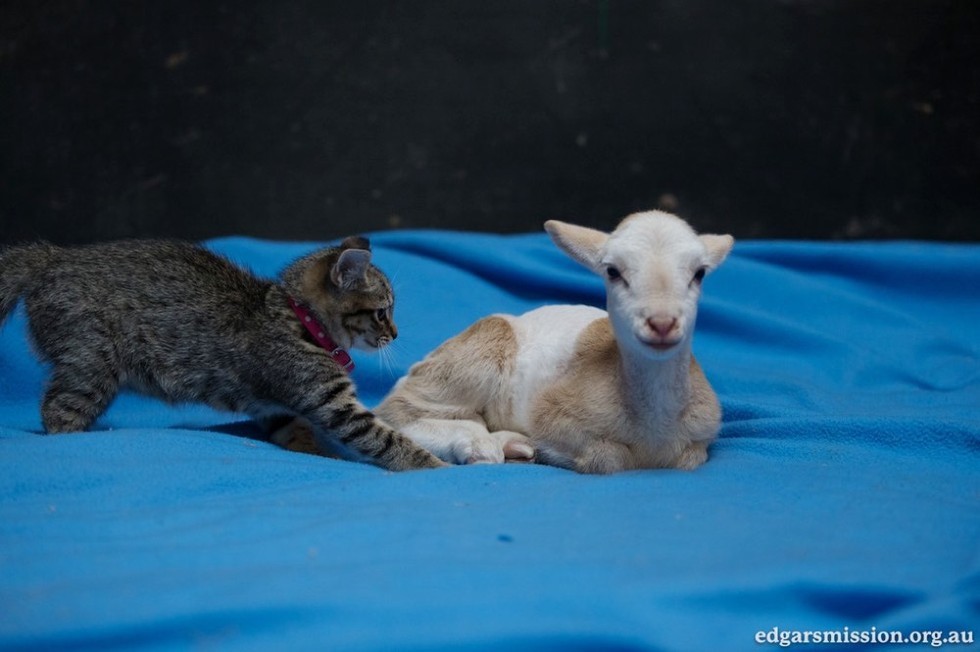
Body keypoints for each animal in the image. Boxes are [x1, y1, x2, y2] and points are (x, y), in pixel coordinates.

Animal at [0, 237, 444, 472]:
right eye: (383, 312)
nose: (395, 333)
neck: (297, 321)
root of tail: (54, 257)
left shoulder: (274, 408)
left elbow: (294, 431)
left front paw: (318, 452)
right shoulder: (333, 404)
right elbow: (385, 440)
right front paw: (436, 469)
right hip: (91, 363)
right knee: (57, 411)